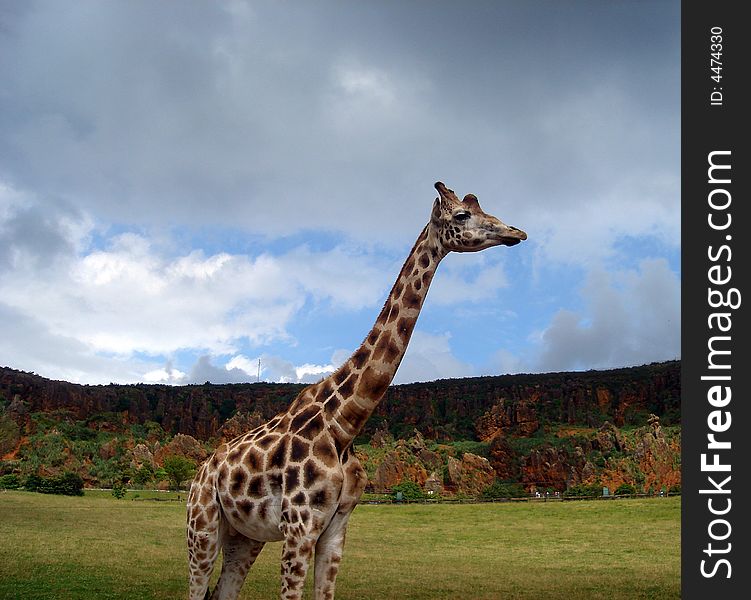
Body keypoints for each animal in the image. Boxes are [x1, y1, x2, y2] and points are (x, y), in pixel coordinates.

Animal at [187, 180, 528, 596]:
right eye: (462, 215)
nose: (516, 232)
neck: (345, 425)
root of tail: (200, 475)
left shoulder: (336, 528)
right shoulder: (299, 526)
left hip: (245, 535)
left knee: (225, 589)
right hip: (202, 526)